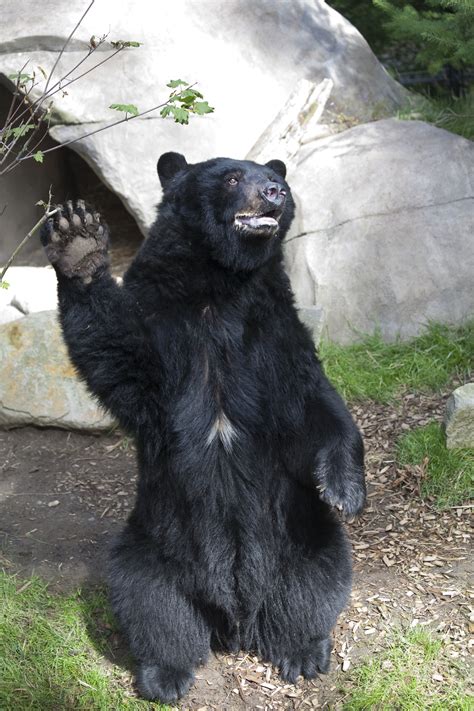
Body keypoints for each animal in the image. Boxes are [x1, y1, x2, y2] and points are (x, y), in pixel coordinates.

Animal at [41, 153, 366, 704]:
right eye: (233, 177)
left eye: (274, 176)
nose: (275, 192)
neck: (222, 286)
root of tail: (234, 618)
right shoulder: (163, 321)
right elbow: (122, 358)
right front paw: (78, 241)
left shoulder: (274, 330)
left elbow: (310, 401)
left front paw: (344, 488)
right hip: (151, 545)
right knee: (151, 605)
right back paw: (165, 674)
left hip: (301, 531)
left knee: (316, 583)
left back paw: (301, 651)